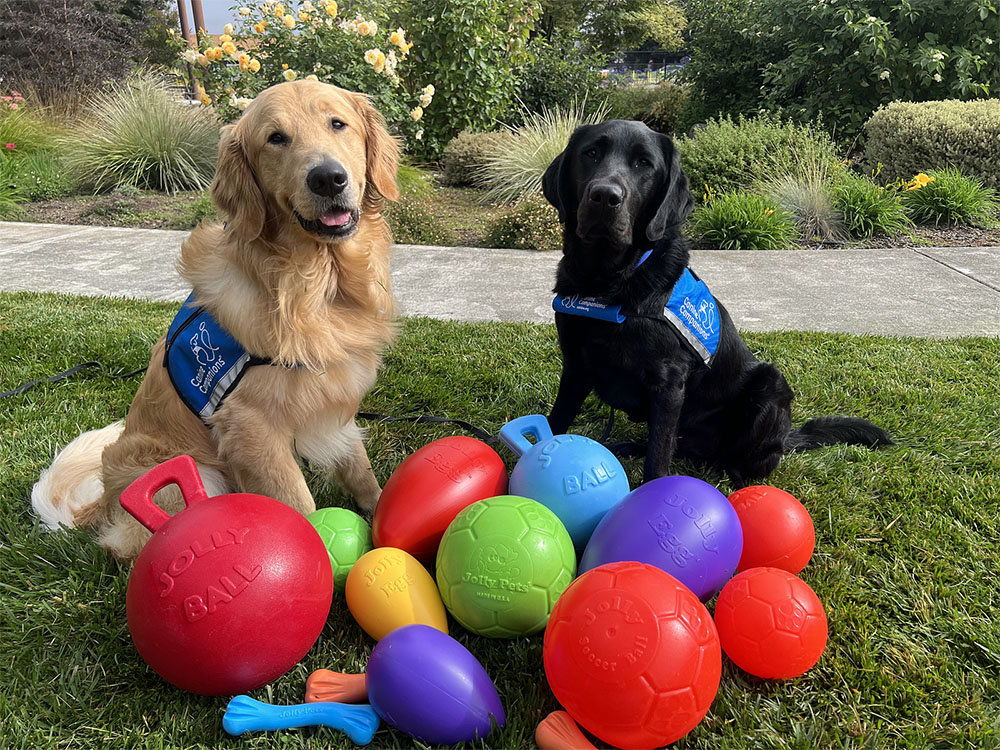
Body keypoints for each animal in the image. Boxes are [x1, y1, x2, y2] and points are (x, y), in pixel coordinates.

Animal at [32, 83, 398, 564]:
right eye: (275, 138)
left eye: (338, 123)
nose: (327, 178)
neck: (317, 285)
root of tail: (103, 503)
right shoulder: (251, 428)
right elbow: (300, 503)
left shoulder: (333, 397)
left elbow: (360, 469)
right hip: (195, 473)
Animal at [544, 122, 896, 488]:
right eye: (590, 153)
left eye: (644, 164)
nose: (605, 196)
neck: (608, 283)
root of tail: (787, 438)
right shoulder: (575, 365)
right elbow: (556, 421)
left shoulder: (669, 383)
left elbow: (658, 458)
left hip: (770, 387)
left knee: (742, 466)